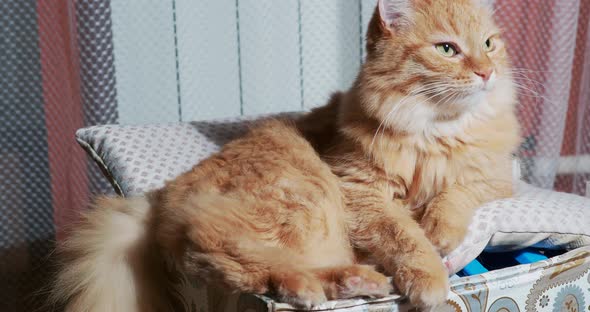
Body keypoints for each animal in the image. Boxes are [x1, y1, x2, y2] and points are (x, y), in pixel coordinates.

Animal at [53, 0, 520, 310]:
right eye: (447, 49)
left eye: (489, 44)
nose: (486, 73)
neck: (439, 131)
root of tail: (157, 200)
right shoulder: (361, 192)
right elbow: (405, 237)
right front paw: (430, 276)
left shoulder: (496, 176)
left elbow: (457, 194)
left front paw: (441, 227)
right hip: (300, 200)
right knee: (238, 262)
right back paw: (320, 287)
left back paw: (357, 283)